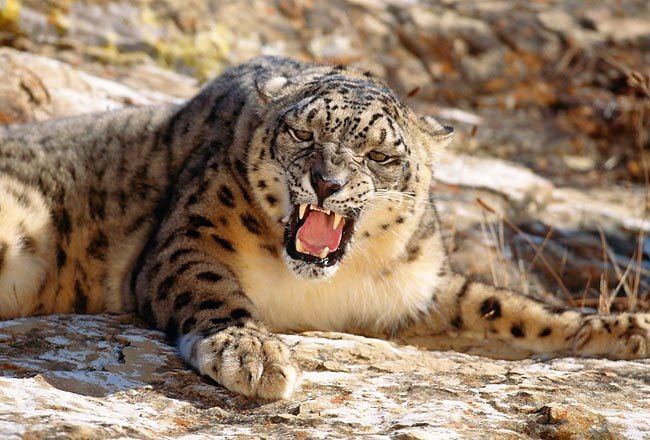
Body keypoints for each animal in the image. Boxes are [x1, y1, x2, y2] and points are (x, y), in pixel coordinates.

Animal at [0, 56, 648, 400]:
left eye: (381, 155)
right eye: (302, 133)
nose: (327, 182)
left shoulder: (419, 293)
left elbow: (509, 308)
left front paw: (626, 328)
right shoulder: (189, 238)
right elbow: (211, 287)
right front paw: (253, 354)